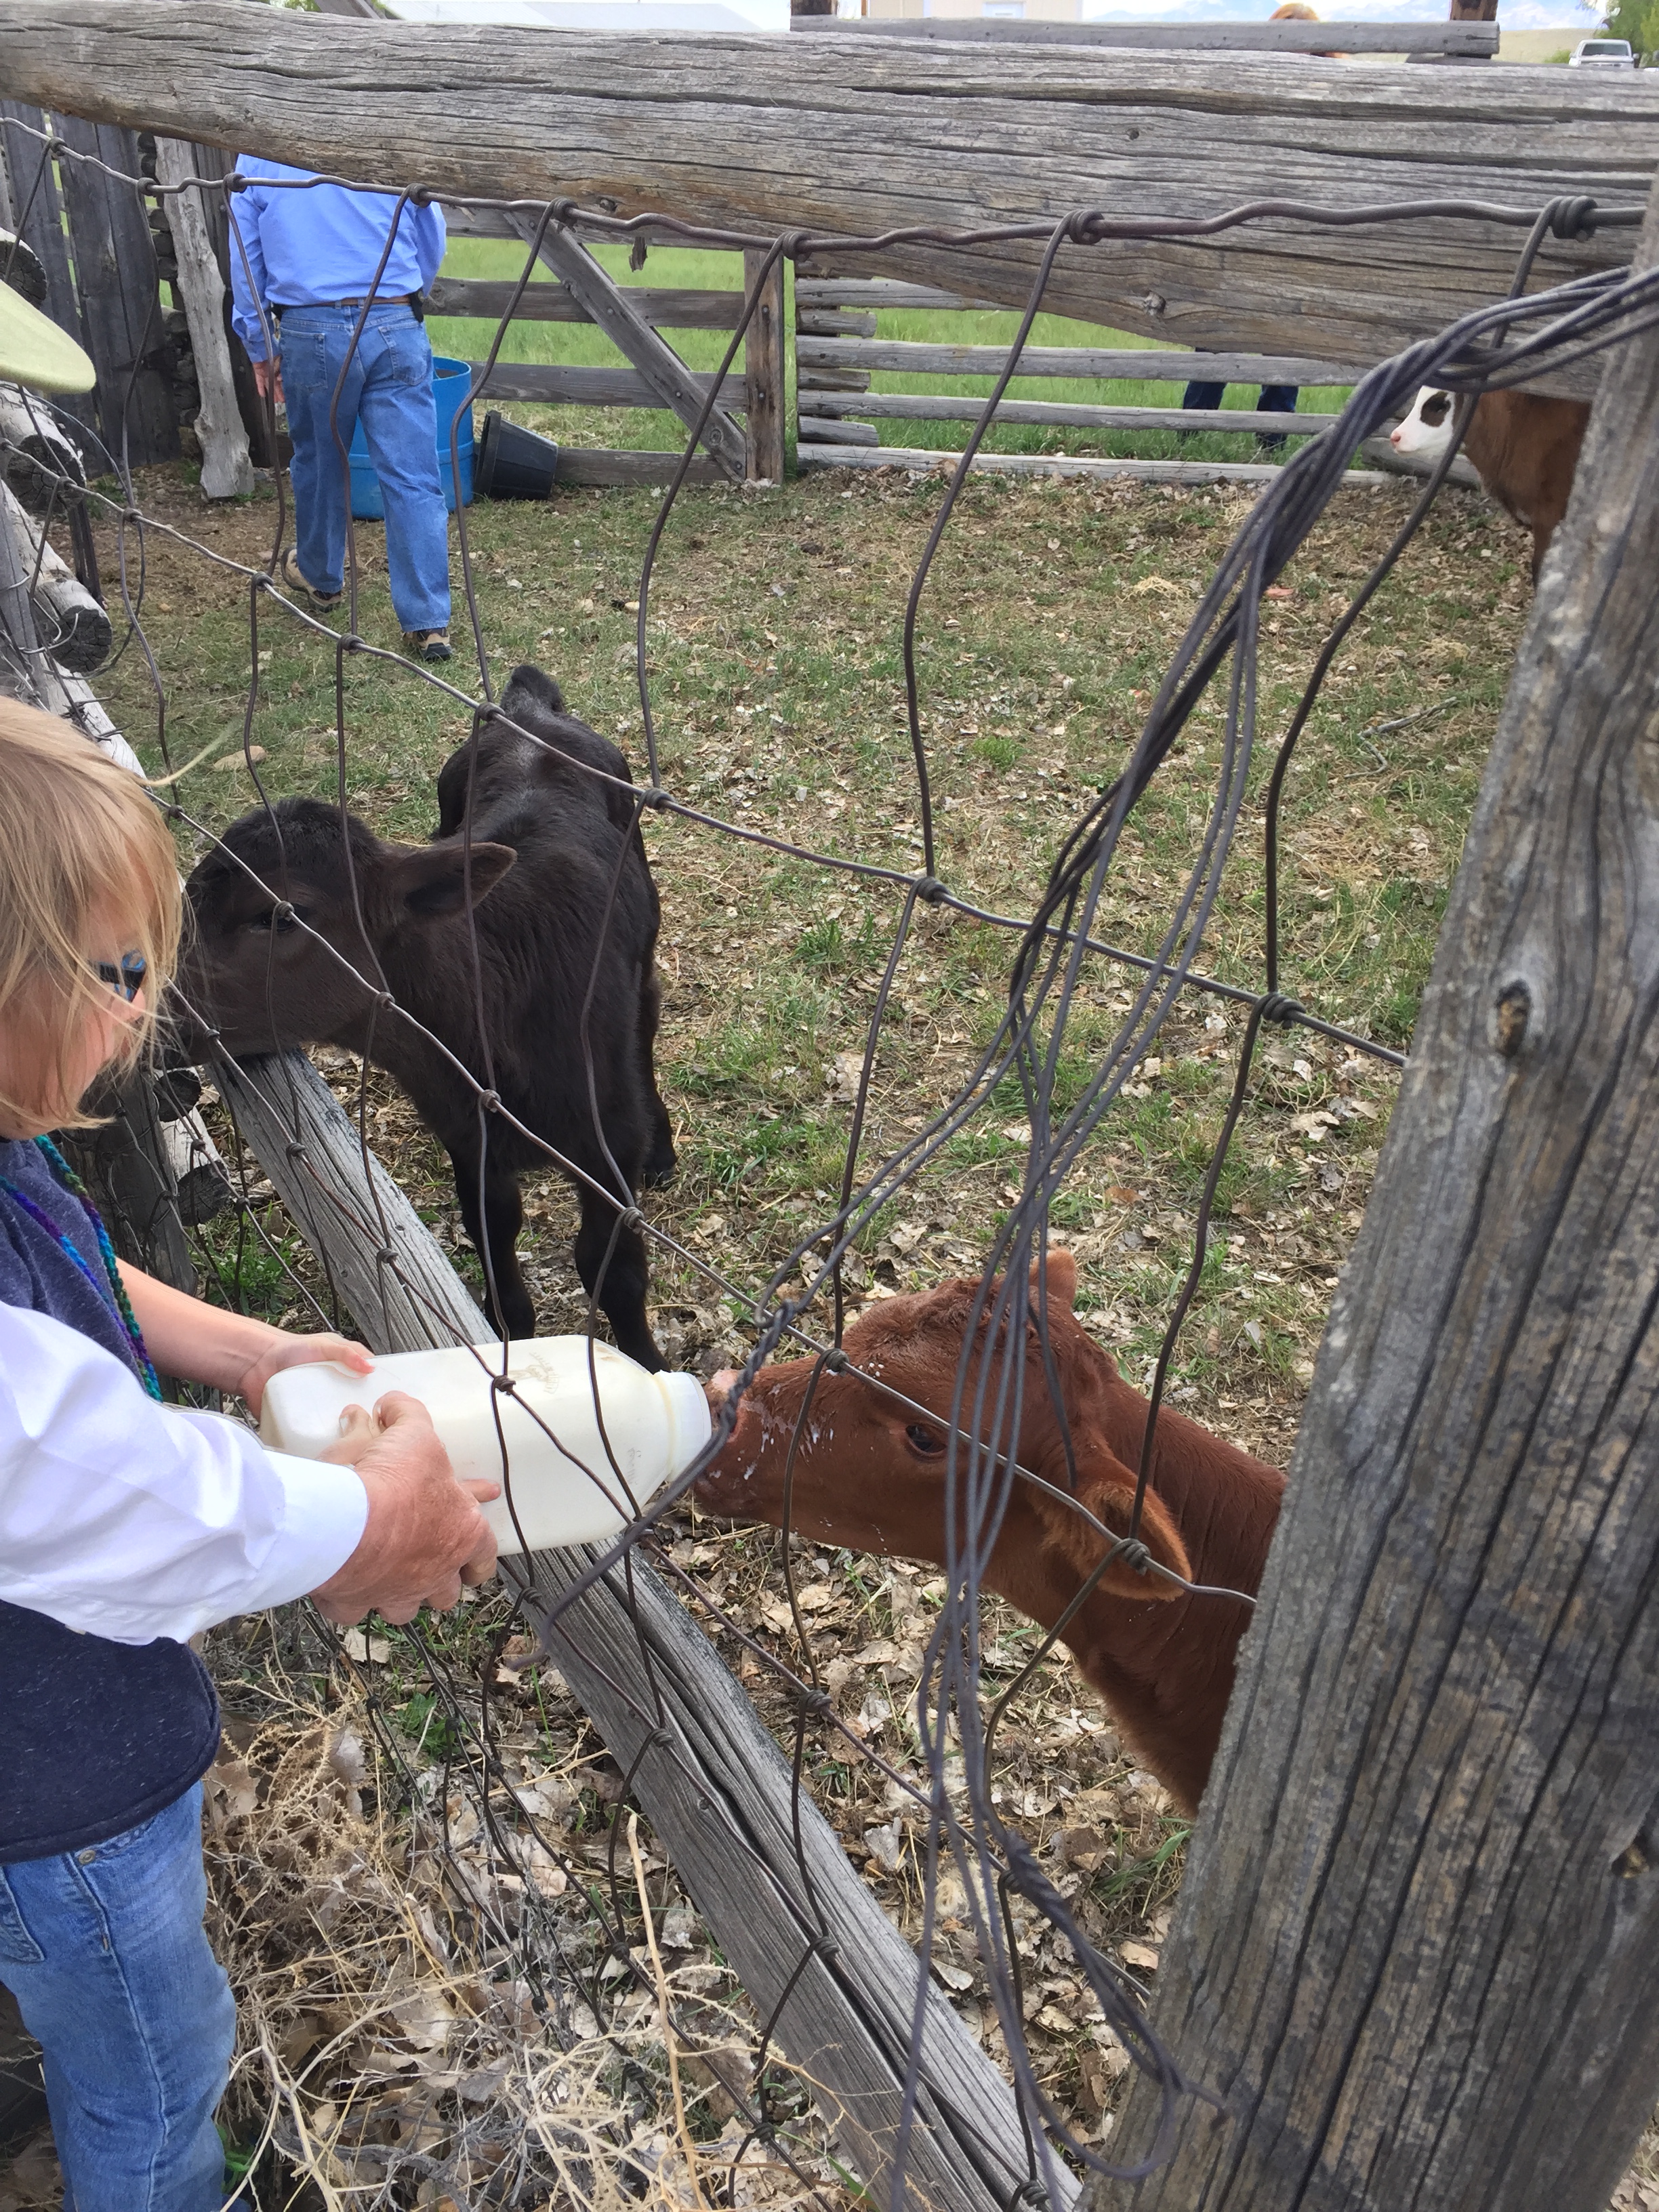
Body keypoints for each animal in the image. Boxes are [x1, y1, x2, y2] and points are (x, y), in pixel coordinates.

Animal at [178, 664, 673, 1365]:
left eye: (280, 914)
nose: (140, 991)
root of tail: (528, 706)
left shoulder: (609, 1144)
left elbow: (615, 1270)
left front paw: (647, 1366)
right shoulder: (468, 1134)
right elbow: (494, 1243)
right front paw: (507, 1336)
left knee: (648, 1013)